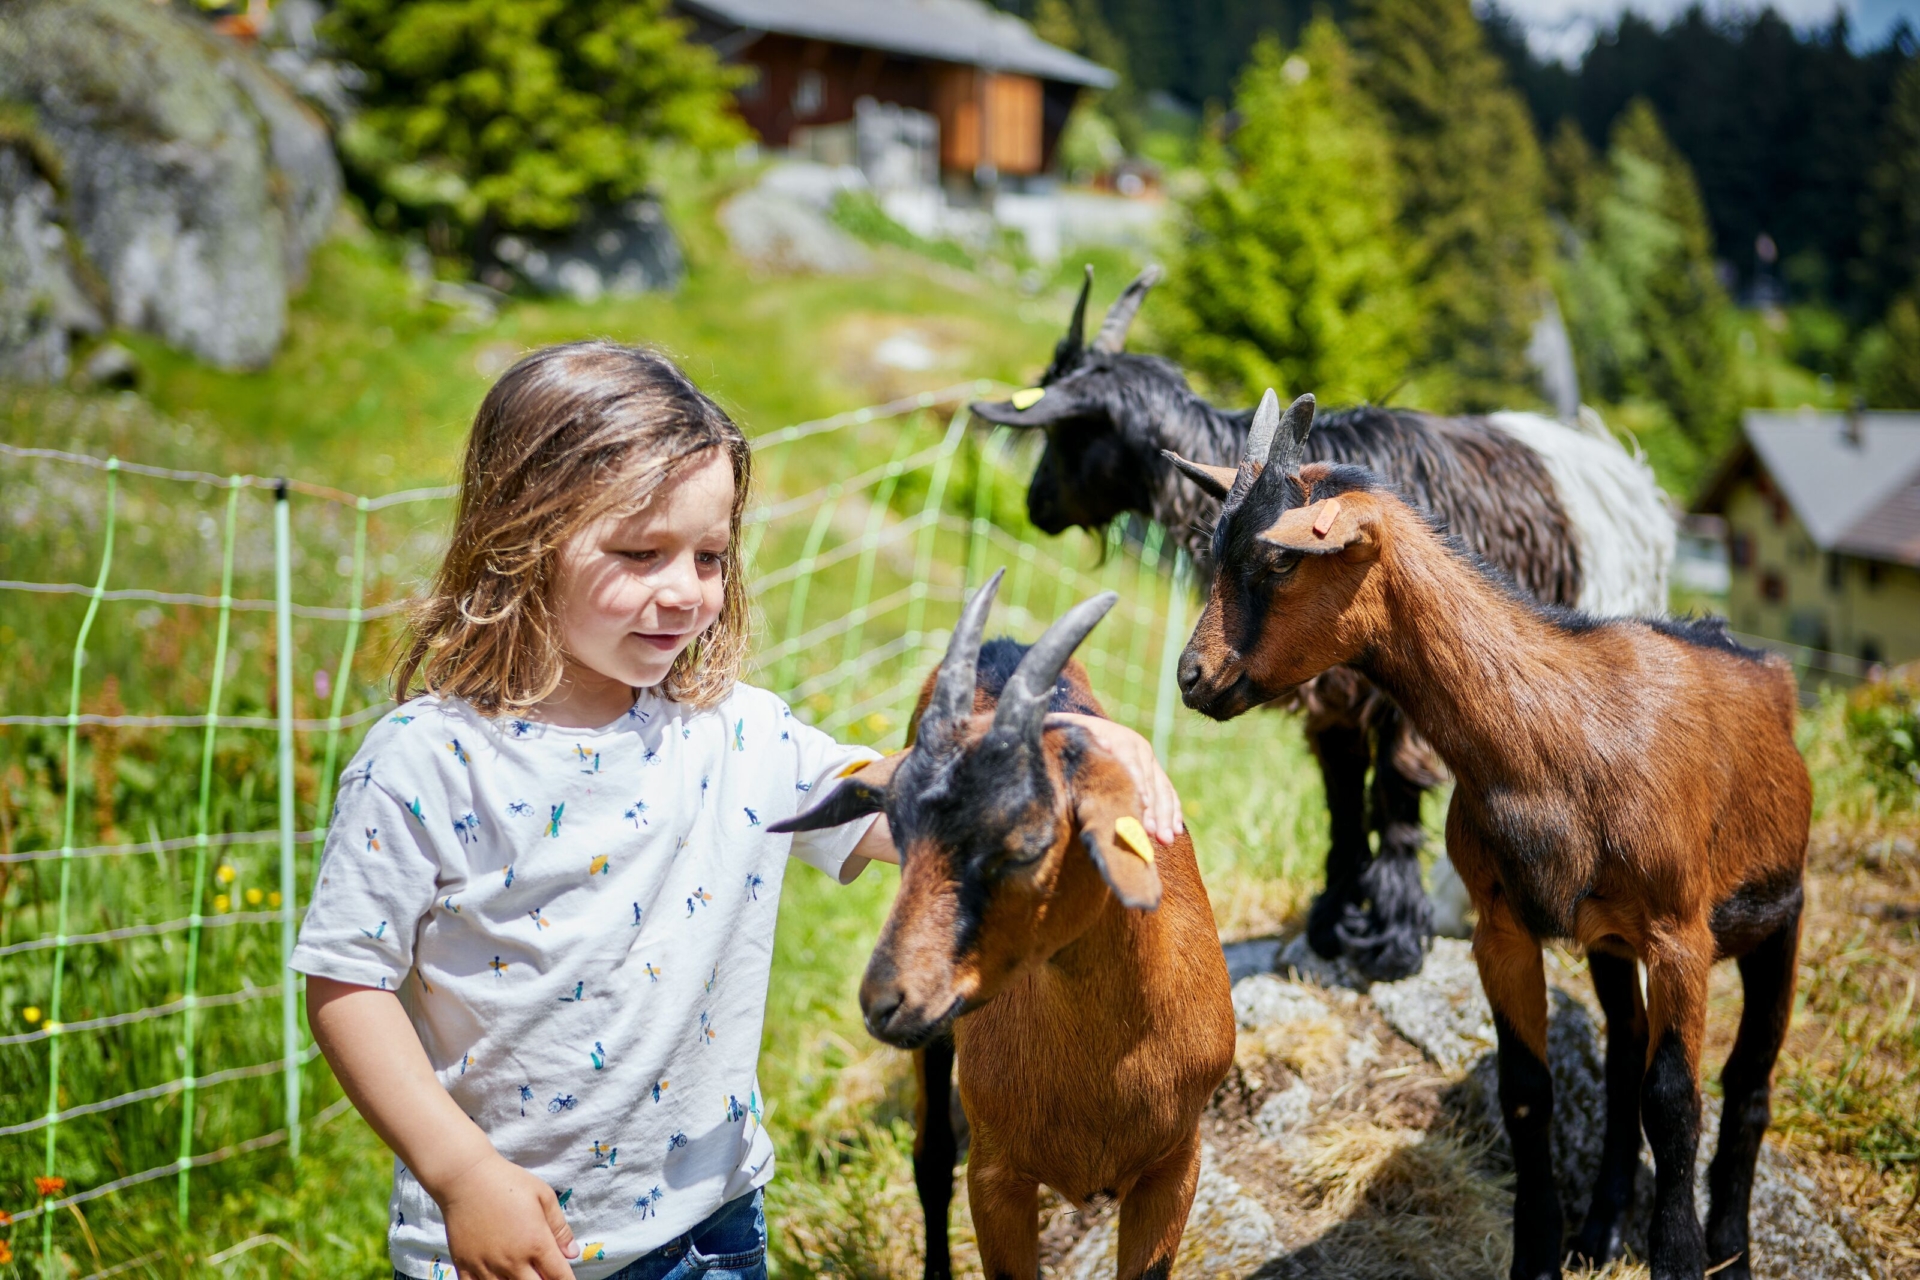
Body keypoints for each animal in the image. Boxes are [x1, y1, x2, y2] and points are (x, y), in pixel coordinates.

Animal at [770, 571, 1236, 1280]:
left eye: (1029, 844)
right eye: (899, 836)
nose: (883, 1002)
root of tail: (1002, 647)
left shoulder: (1176, 1166)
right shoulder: (996, 1178)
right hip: (937, 1050)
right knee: (931, 1156)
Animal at [972, 267, 1673, 983]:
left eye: (1067, 432)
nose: (1037, 503)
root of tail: (1619, 459)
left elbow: (1395, 796)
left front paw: (1393, 938)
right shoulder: (1328, 691)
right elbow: (1340, 797)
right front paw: (1333, 921)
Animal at [1166, 391, 1809, 1280]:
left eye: (1279, 561)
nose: (1193, 677)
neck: (1566, 735)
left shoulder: (1682, 934)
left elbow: (1677, 1102)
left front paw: (1678, 1259)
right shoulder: (1503, 926)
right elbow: (1528, 1092)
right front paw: (1538, 1253)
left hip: (1778, 914)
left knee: (1747, 1086)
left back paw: (1729, 1253)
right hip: (1611, 943)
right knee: (1621, 1059)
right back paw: (1600, 1230)